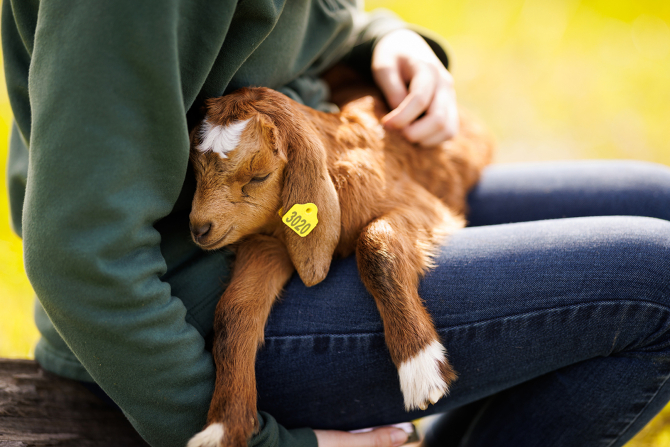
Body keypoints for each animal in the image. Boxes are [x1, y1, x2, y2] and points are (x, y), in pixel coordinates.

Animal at [186, 74, 494, 447]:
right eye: (195, 171)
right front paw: (223, 426)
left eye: (259, 177)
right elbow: (234, 308)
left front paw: (421, 370)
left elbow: (376, 243)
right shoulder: (268, 243)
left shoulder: (424, 205)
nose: (199, 228)